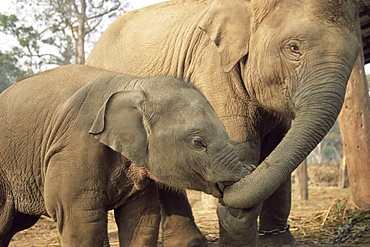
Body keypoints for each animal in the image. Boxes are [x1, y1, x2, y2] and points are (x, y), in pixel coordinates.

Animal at [85, 0, 360, 246]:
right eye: (293, 48)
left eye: (356, 55)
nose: (225, 196)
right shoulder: (213, 69)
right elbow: (242, 144)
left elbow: (278, 148)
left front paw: (279, 243)